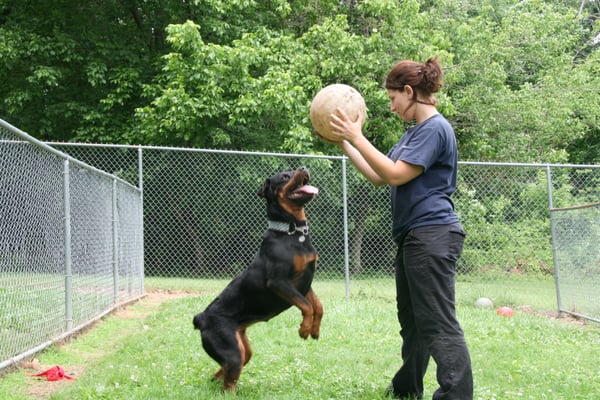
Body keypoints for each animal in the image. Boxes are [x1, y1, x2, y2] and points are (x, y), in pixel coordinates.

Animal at [193, 167, 324, 392]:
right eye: (285, 176)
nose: (304, 168)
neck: (292, 232)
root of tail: (201, 318)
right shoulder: (280, 282)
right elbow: (307, 306)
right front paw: (304, 329)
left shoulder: (305, 284)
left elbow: (318, 306)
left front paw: (314, 330)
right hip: (231, 349)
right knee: (229, 382)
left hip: (241, 348)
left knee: (226, 369)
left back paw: (213, 379)